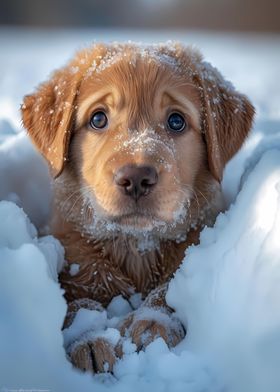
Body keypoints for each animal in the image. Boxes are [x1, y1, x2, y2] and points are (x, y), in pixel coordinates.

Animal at [20, 41, 255, 372]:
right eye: (98, 119)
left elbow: (169, 288)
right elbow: (75, 302)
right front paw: (89, 338)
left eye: (176, 121)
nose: (136, 178)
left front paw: (152, 323)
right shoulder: (71, 256)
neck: (136, 246)